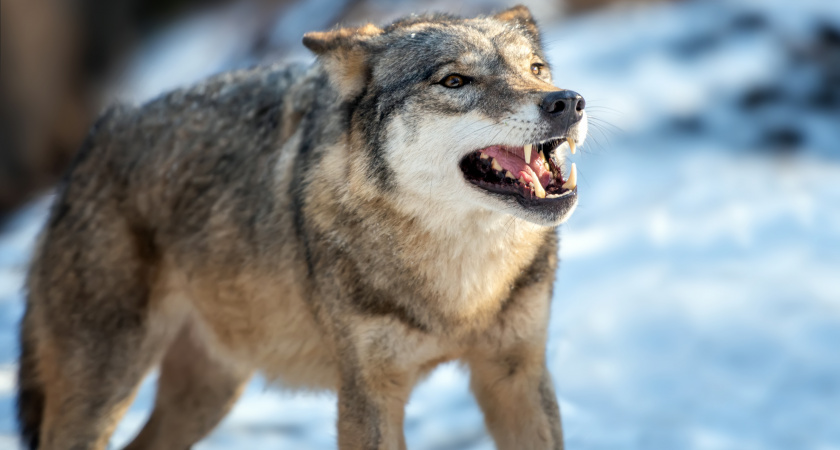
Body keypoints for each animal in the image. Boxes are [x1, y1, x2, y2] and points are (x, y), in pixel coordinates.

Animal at [16, 4, 588, 450]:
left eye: (536, 68)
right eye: (454, 80)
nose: (567, 101)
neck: (462, 291)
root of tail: (95, 140)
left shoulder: (517, 376)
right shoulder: (366, 394)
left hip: (208, 393)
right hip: (103, 392)